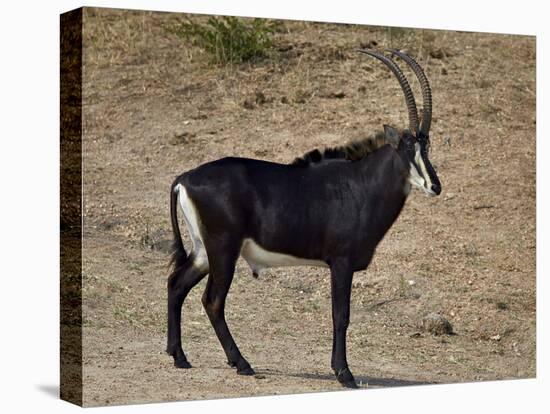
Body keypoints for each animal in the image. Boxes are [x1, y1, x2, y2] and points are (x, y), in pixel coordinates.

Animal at [166, 48, 442, 388]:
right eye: (405, 148)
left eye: (426, 146)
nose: (434, 186)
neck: (360, 185)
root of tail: (185, 178)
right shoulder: (341, 263)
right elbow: (341, 316)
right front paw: (344, 374)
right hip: (223, 250)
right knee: (213, 301)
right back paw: (242, 363)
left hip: (204, 251)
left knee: (177, 284)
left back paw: (180, 357)